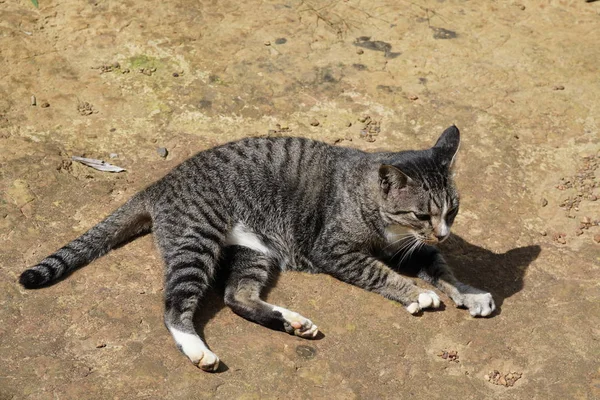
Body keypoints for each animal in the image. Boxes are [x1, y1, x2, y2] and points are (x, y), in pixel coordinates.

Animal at [19, 126, 496, 372]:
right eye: (421, 214)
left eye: (453, 210)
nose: (444, 233)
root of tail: (160, 183)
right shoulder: (336, 250)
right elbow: (383, 272)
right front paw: (416, 293)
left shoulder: (418, 250)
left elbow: (445, 269)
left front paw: (470, 293)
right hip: (197, 241)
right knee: (175, 306)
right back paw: (199, 350)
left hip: (255, 252)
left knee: (237, 296)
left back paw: (290, 321)